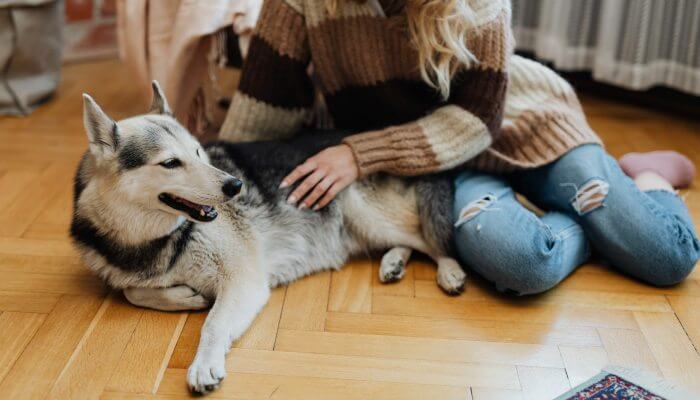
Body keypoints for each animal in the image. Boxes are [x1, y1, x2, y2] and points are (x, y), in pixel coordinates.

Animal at [71, 81, 464, 394]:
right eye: (170, 163)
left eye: (198, 152)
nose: (235, 185)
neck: (155, 241)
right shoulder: (130, 272)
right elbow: (132, 291)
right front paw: (183, 296)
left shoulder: (243, 280)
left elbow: (213, 324)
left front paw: (204, 363)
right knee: (409, 240)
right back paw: (394, 262)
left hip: (364, 212)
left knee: (429, 239)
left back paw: (449, 270)